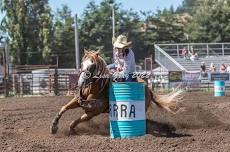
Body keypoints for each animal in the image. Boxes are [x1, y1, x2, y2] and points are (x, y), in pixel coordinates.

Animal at [50, 48, 183, 134]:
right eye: (82, 63)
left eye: (92, 65)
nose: (81, 81)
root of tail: (148, 89)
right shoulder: (77, 101)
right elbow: (63, 108)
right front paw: (54, 127)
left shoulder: (93, 112)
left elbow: (78, 119)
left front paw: (71, 128)